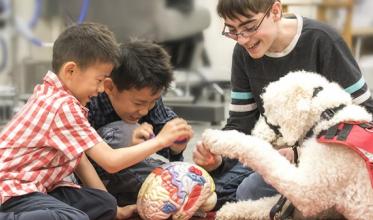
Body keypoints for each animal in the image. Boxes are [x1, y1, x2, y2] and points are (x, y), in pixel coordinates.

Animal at [203, 71, 372, 219]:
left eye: (269, 109)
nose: (255, 132)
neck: (329, 117)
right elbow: (267, 204)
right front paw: (231, 210)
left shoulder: (306, 190)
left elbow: (261, 152)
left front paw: (217, 138)